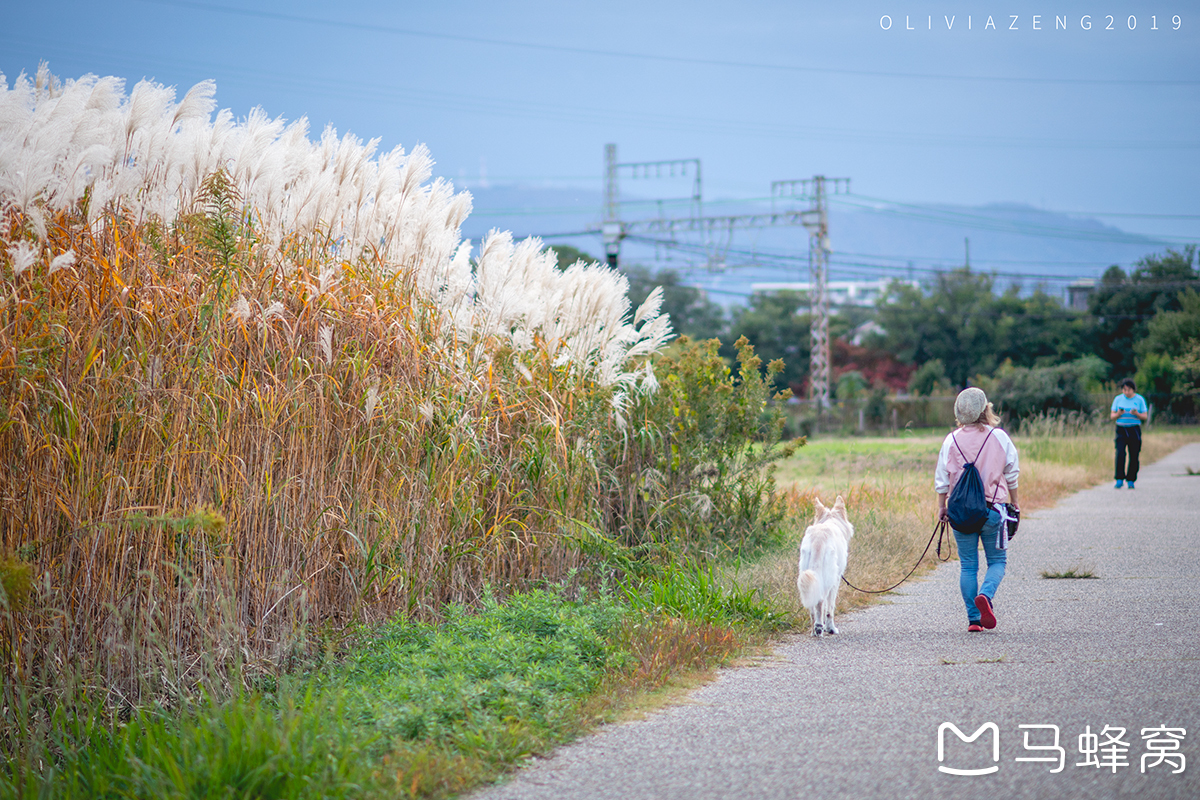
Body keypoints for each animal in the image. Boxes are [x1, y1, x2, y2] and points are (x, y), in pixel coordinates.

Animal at [796, 494, 854, 638]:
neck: (831, 521)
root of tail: (819, 539)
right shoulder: (836, 580)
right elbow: (830, 608)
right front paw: (831, 628)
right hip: (829, 579)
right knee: (821, 601)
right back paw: (819, 628)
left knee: (812, 606)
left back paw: (814, 630)